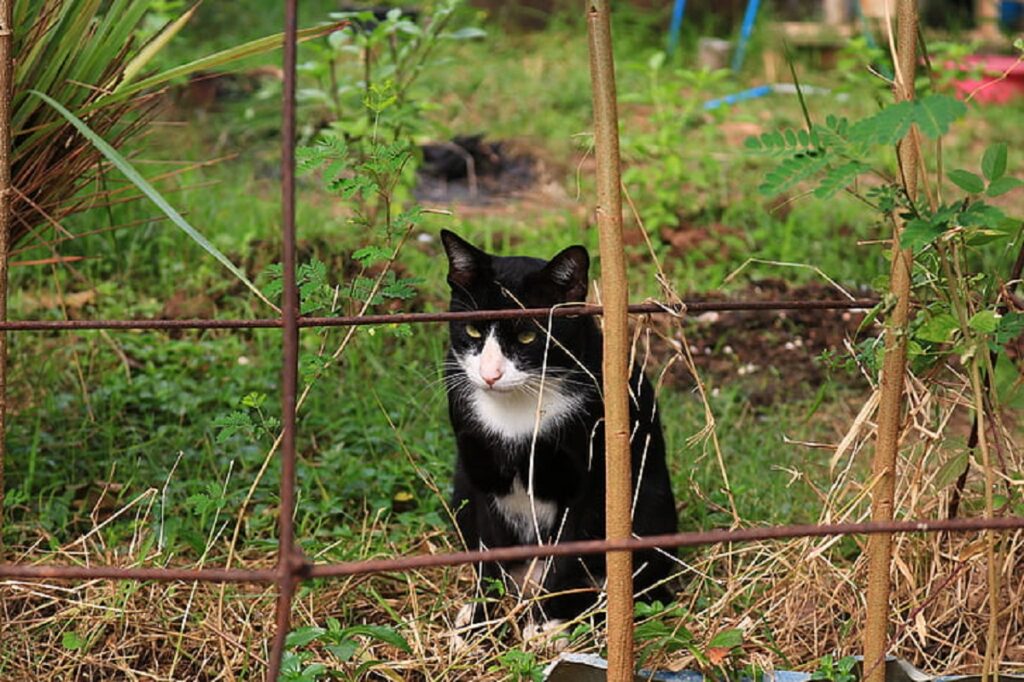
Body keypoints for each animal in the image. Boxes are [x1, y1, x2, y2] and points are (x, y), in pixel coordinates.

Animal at [442, 229, 675, 638]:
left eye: (527, 336)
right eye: (472, 329)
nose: (490, 374)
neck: (519, 410)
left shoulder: (588, 479)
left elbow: (568, 555)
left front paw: (547, 622)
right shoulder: (478, 471)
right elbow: (488, 553)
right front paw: (482, 624)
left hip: (653, 501)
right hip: (460, 488)